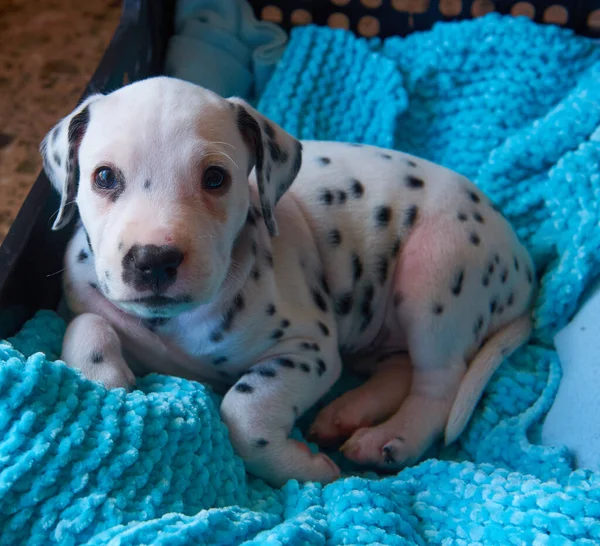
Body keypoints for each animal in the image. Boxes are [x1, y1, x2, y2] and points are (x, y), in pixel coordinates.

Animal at [41, 75, 536, 484]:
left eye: (215, 178)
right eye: (105, 176)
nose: (154, 260)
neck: (174, 324)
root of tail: (523, 267)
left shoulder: (307, 350)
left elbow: (244, 409)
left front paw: (302, 467)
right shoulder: (93, 301)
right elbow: (84, 324)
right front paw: (103, 374)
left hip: (435, 271)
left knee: (438, 383)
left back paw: (391, 438)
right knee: (401, 367)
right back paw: (348, 411)